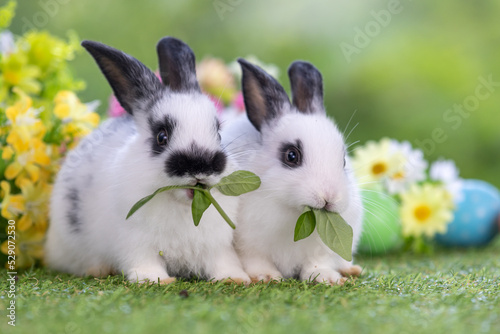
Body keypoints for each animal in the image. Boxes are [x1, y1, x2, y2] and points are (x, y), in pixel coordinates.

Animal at [45, 37, 250, 284]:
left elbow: (223, 262)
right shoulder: (136, 242)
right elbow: (144, 262)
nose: (200, 165)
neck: (181, 205)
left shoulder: (217, 246)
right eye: (161, 137)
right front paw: (155, 280)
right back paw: (98, 270)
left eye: (218, 133)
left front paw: (235, 278)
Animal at [223, 59, 364, 284]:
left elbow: (317, 264)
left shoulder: (321, 251)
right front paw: (266, 276)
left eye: (343, 160)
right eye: (291, 156)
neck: (293, 212)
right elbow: (256, 261)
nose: (330, 197)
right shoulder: (249, 244)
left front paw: (327, 278)